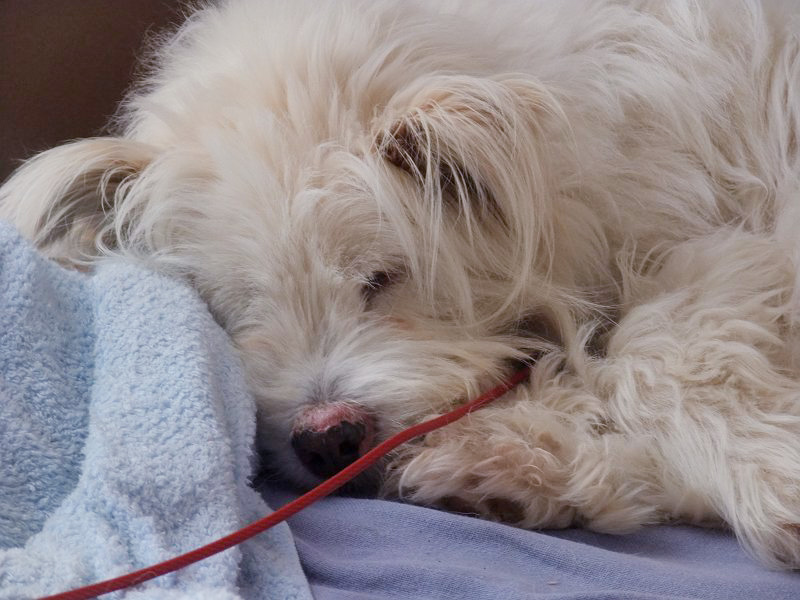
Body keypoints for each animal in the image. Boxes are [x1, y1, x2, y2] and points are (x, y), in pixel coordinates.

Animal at [3, 0, 800, 570]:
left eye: (382, 277)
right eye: (234, 310)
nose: (328, 440)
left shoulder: (737, 247)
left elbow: (664, 354)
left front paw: (770, 476)